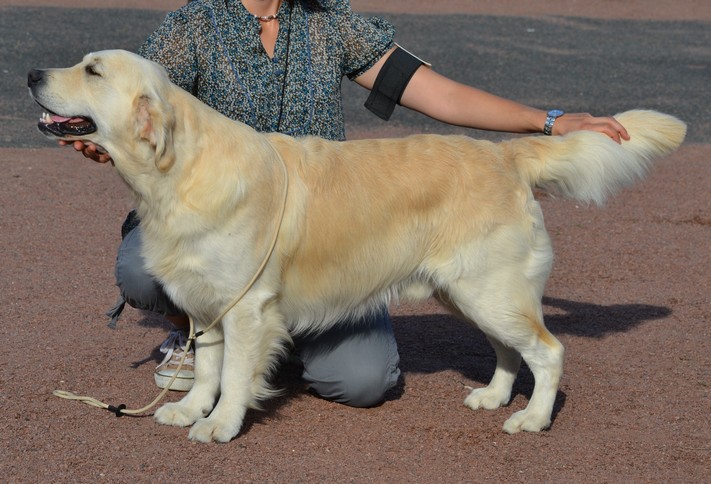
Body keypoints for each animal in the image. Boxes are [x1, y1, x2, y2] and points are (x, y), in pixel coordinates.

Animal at [30, 49, 688, 442]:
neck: (178, 171)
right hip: (470, 292)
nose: (32, 75)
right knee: (508, 349)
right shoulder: (206, 305)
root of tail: (505, 154)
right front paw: (191, 408)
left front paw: (221, 425)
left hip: (491, 288)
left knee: (548, 352)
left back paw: (531, 417)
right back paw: (494, 396)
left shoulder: (248, 308)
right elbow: (210, 368)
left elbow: (237, 374)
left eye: (92, 71)